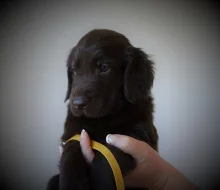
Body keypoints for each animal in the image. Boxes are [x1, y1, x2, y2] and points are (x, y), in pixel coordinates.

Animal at [47, 28, 159, 190]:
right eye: (74, 70)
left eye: (104, 68)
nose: (78, 103)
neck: (105, 117)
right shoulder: (72, 132)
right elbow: (70, 152)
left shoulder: (141, 136)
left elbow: (108, 156)